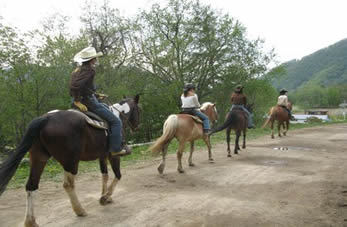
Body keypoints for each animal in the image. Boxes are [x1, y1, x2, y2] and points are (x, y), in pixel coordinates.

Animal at [0, 94, 141, 227]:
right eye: (139, 110)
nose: (136, 127)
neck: (118, 116)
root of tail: (47, 118)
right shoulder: (114, 156)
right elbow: (118, 175)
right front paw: (105, 197)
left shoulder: (102, 156)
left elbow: (104, 176)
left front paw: (105, 196)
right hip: (71, 162)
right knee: (68, 185)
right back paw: (80, 210)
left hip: (38, 159)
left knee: (31, 185)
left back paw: (31, 221)